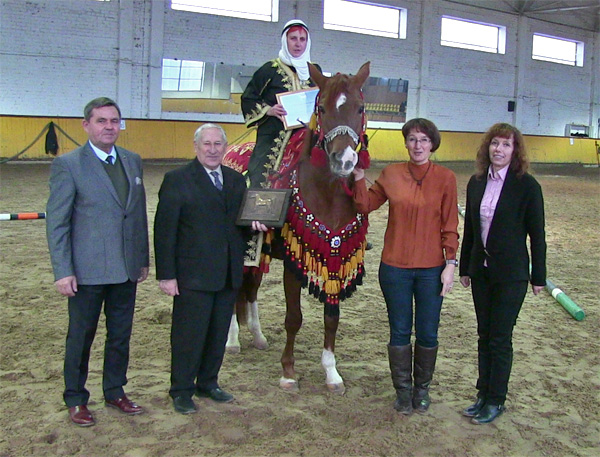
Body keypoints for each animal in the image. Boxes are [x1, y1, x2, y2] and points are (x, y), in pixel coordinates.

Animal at [224, 62, 368, 394]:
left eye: (360, 107)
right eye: (323, 107)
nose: (344, 160)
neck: (327, 193)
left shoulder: (334, 258)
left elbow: (332, 318)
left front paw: (332, 373)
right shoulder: (293, 261)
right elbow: (294, 317)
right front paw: (288, 372)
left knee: (250, 289)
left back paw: (258, 336)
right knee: (236, 288)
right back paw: (233, 340)